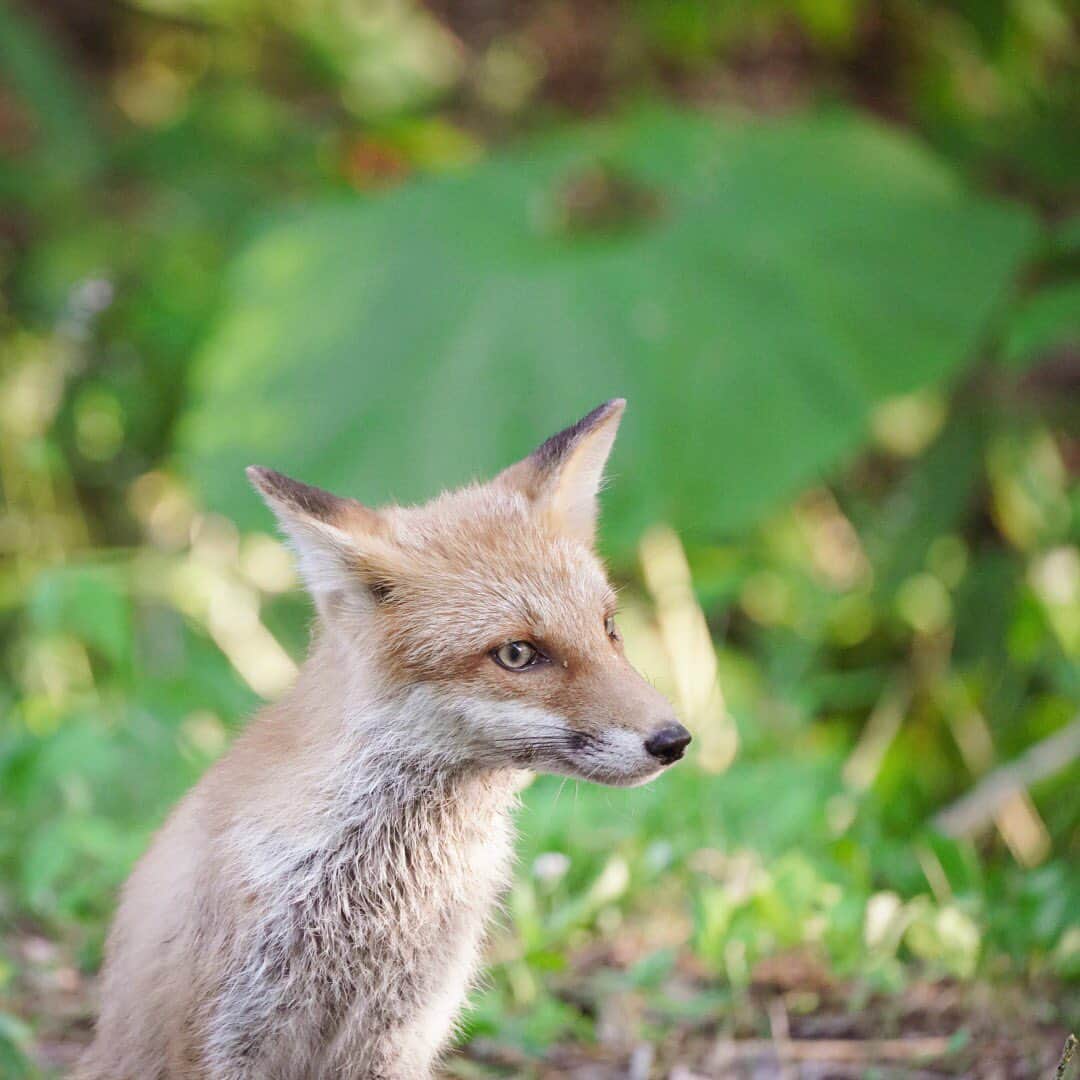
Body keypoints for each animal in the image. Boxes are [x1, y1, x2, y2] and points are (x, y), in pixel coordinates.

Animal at [78, 398, 690, 1080]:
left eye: (608, 628)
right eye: (517, 653)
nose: (673, 739)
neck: (375, 897)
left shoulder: (399, 1032)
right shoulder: (225, 1037)